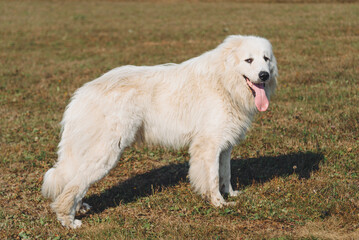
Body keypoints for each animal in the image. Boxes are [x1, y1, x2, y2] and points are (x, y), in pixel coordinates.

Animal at [42, 34, 278, 228]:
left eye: (266, 59)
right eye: (249, 60)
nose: (264, 75)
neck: (224, 80)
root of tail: (82, 93)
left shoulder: (224, 146)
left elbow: (225, 174)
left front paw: (231, 194)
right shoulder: (208, 146)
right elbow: (212, 179)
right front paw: (218, 204)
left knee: (75, 181)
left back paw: (79, 208)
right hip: (105, 154)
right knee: (72, 187)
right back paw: (68, 220)